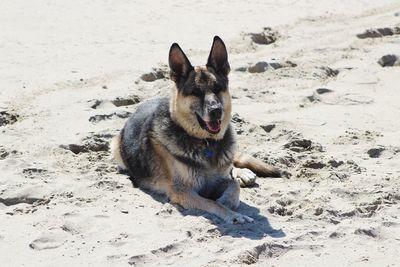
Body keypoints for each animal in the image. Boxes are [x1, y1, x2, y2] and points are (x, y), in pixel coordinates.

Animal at [111, 36, 282, 224]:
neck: (206, 143)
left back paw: (243, 173)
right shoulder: (183, 192)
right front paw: (233, 214)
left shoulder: (219, 179)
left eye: (217, 89)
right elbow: (213, 203)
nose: (216, 111)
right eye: (196, 92)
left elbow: (233, 184)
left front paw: (228, 200)